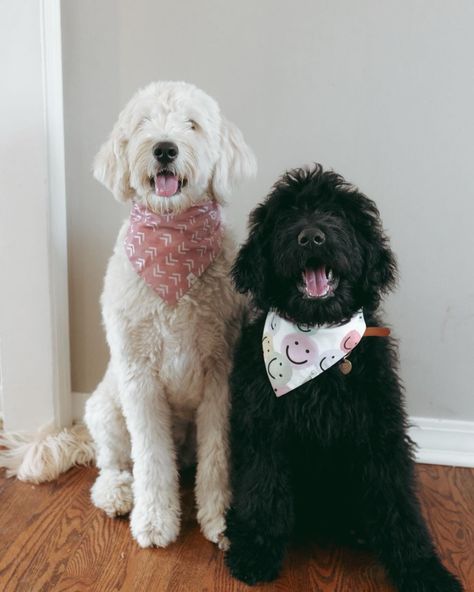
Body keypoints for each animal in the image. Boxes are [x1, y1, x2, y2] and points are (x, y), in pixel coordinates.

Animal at [84, 81, 256, 548]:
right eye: (143, 122)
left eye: (192, 124)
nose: (164, 148)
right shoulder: (139, 378)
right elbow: (150, 459)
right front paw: (156, 520)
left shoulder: (220, 374)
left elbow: (217, 455)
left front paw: (219, 518)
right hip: (105, 408)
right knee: (112, 462)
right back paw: (117, 493)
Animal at [223, 165, 462, 592]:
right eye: (286, 215)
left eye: (337, 213)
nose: (311, 236)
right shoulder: (263, 427)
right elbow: (263, 490)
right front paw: (256, 550)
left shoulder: (380, 432)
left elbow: (399, 505)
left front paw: (423, 570)